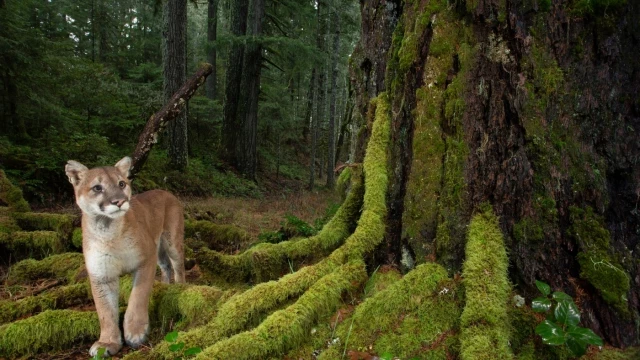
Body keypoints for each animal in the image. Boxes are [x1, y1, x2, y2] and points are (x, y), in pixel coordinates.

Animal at [65, 156, 184, 356]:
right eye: (97, 188)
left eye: (121, 183)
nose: (119, 201)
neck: (108, 231)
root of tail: (165, 191)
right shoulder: (101, 275)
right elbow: (105, 311)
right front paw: (107, 342)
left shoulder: (145, 260)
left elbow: (138, 296)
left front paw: (135, 332)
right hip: (159, 249)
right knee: (166, 266)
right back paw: (165, 285)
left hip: (171, 241)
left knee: (178, 267)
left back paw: (182, 286)